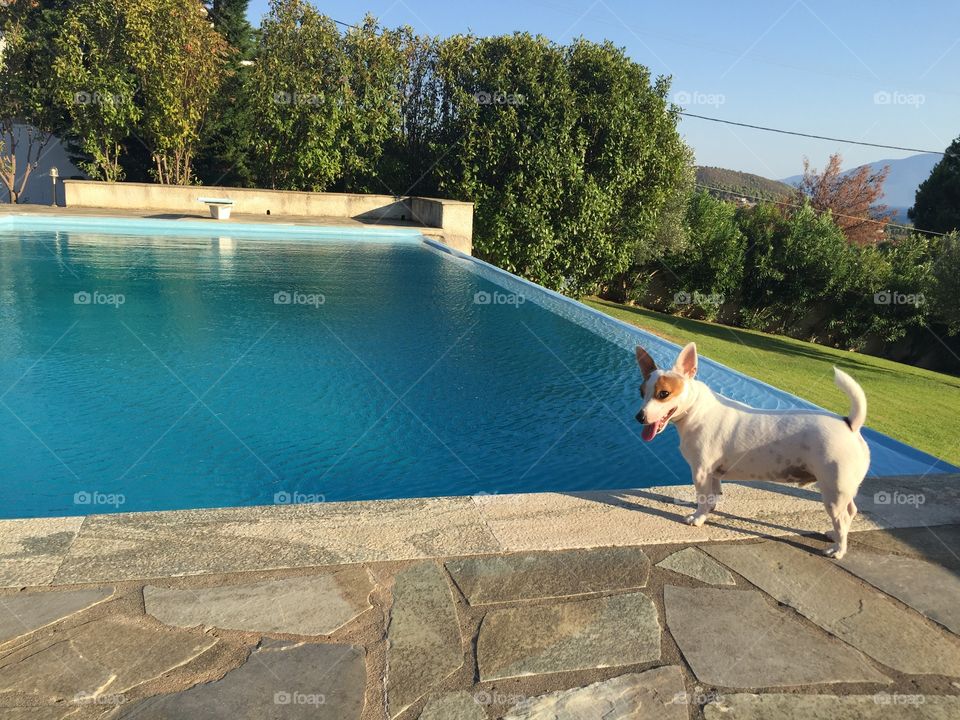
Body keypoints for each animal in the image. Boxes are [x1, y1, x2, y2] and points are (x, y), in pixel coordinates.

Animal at [636, 340, 872, 560]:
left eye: (663, 394)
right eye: (641, 393)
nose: (639, 417)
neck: (696, 410)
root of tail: (850, 424)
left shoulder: (701, 472)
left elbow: (702, 498)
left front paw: (698, 518)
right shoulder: (714, 474)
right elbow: (713, 496)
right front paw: (709, 511)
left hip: (834, 492)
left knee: (842, 517)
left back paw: (838, 550)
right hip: (842, 489)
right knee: (851, 511)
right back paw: (835, 535)